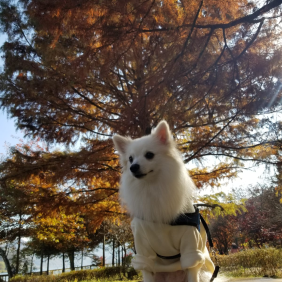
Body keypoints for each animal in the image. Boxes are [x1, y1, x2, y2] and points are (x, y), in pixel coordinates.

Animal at [113, 120, 215, 282]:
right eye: (130, 159)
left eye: (149, 155)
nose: (133, 167)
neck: (153, 188)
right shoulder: (142, 249)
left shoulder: (190, 243)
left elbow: (191, 267)